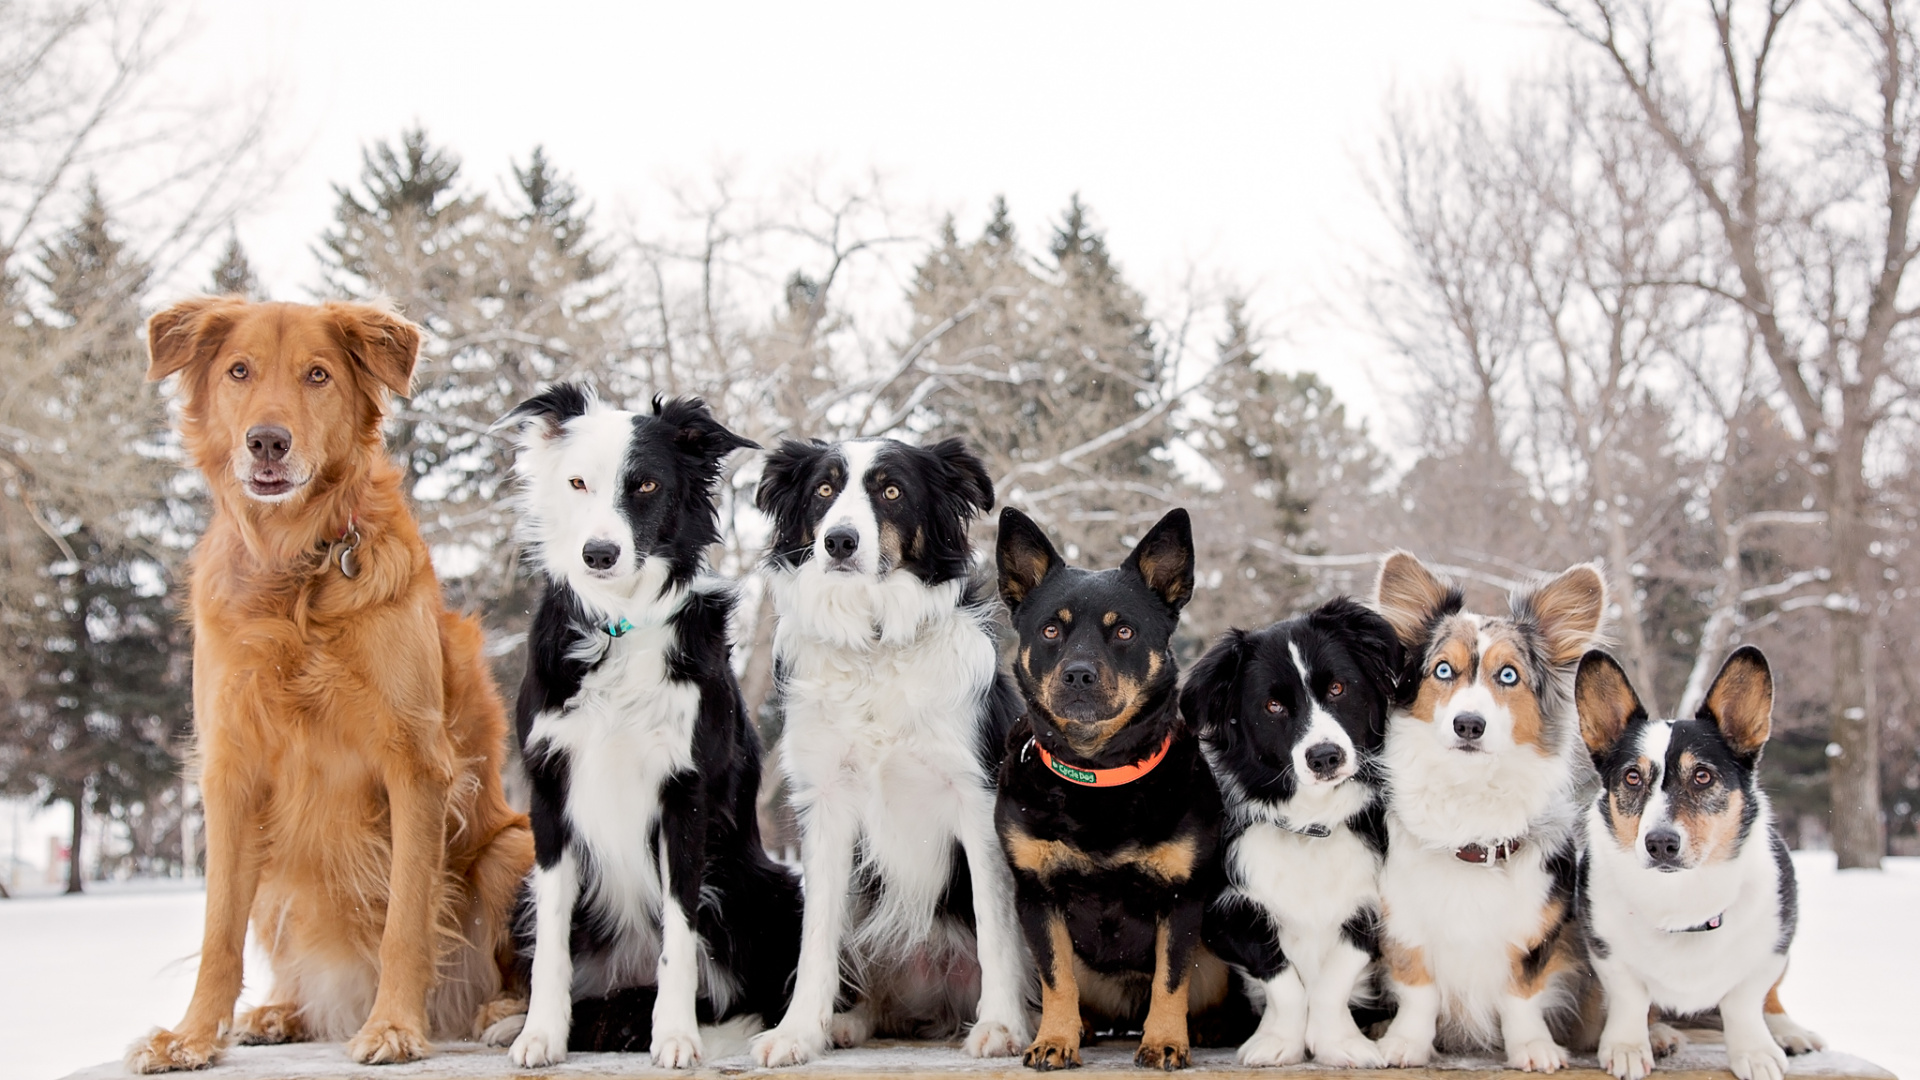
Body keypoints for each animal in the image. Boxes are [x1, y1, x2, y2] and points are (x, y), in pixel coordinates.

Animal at [126, 295, 533, 1068]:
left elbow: (405, 917)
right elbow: (217, 933)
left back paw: (498, 1011)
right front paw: (193, 1037)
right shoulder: (231, 770)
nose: (267, 441)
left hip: (512, 846)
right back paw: (280, 1013)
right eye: (239, 371)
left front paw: (395, 1025)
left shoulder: (416, 763)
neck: (297, 569)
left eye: (317, 375)